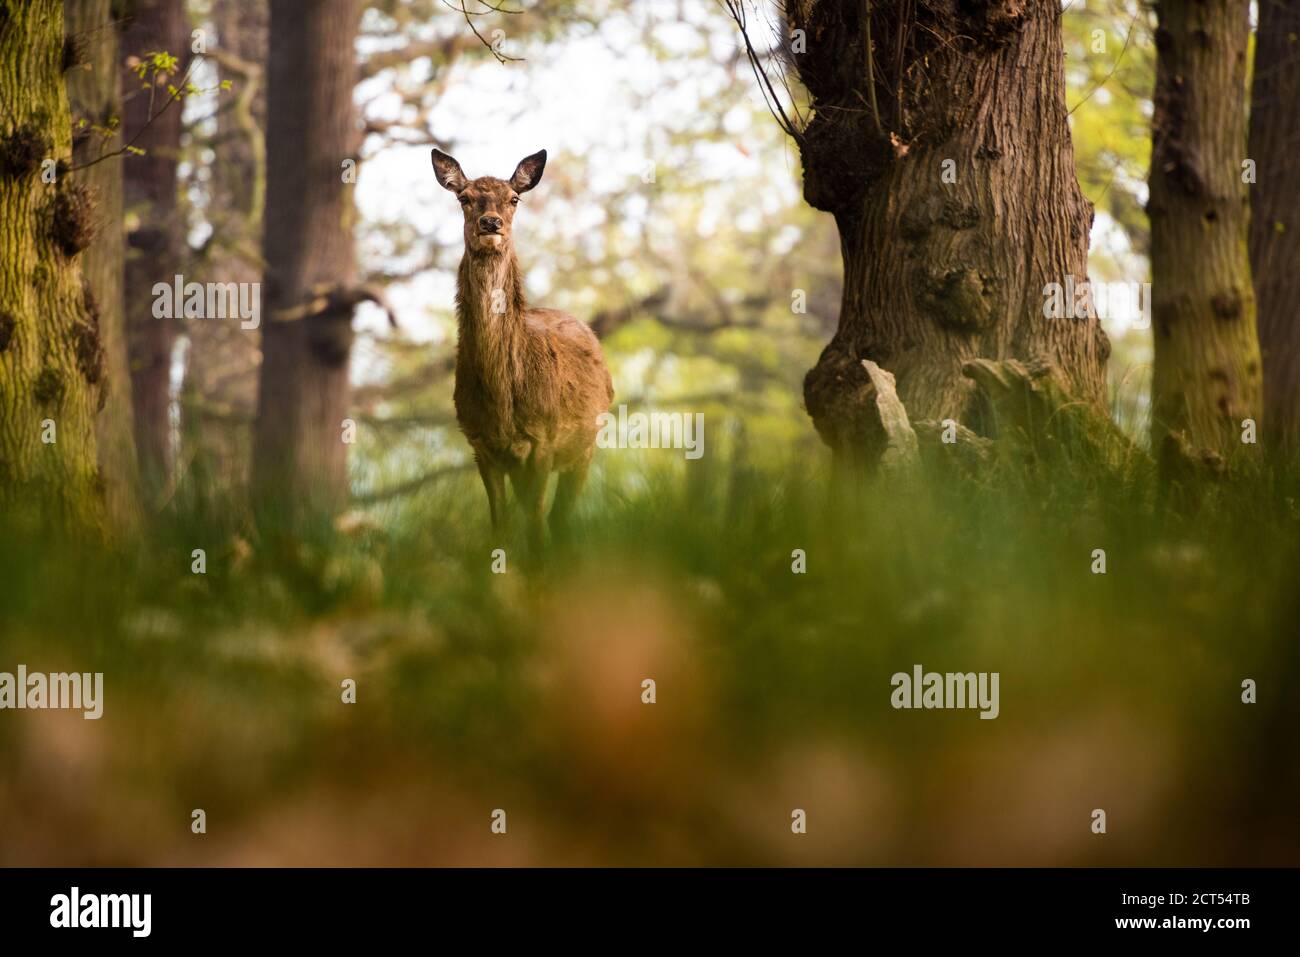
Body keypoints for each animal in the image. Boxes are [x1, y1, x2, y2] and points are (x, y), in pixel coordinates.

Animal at [431, 147, 614, 553]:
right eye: (464, 198)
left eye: (514, 198)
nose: (491, 223)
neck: (503, 402)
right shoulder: (480, 444)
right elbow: (499, 527)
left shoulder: (544, 439)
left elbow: (536, 526)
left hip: (586, 446)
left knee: (560, 519)